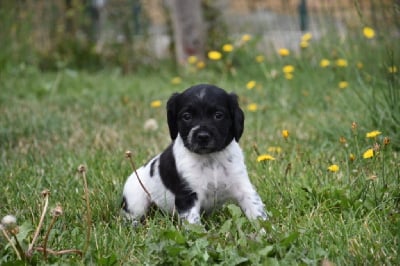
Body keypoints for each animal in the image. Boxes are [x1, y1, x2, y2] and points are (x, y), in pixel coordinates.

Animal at [120, 83, 268, 224]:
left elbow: (258, 213)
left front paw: (263, 232)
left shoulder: (243, 186)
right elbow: (194, 224)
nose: (202, 136)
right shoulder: (187, 196)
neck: (211, 159)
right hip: (136, 200)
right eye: (187, 116)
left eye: (218, 115)